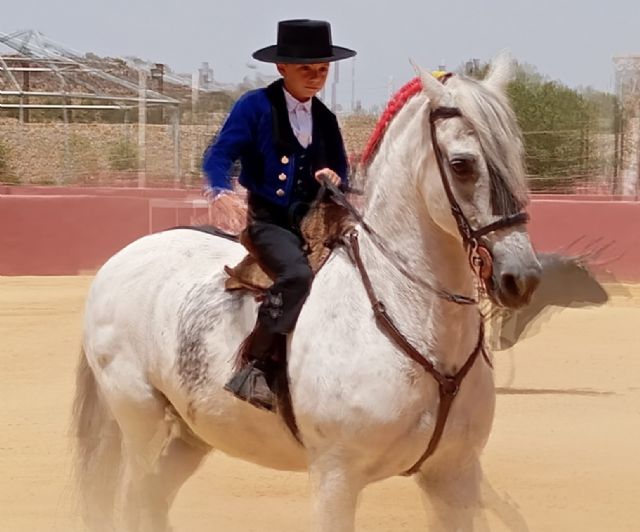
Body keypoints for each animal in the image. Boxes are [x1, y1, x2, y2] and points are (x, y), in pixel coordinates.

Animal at [72, 56, 544, 528]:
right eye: (462, 164)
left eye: (517, 156)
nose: (521, 277)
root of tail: (120, 260)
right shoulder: (336, 478)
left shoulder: (454, 475)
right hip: (139, 420)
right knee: (134, 497)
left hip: (193, 431)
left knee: (154, 497)